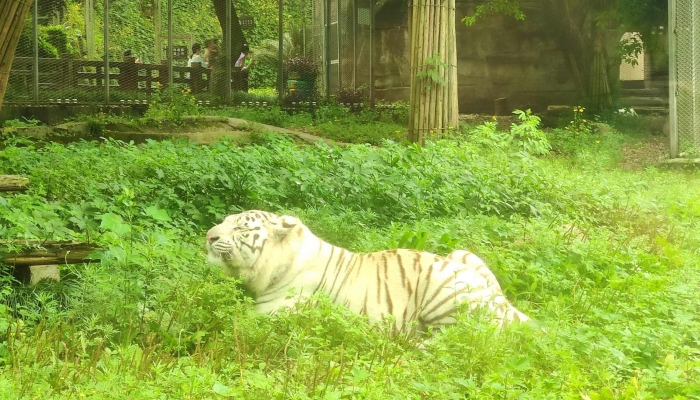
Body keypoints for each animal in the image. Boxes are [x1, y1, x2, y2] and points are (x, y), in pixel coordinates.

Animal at [205, 210, 530, 334]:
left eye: (239, 228)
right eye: (225, 220)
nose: (208, 236)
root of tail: (502, 303)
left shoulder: (272, 315)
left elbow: (229, 321)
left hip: (442, 286)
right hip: (463, 253)